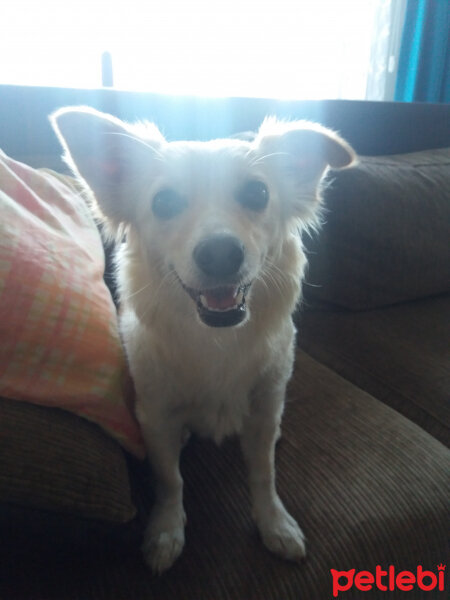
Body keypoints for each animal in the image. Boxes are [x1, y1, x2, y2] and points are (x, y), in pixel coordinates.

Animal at [51, 108, 356, 572]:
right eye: (163, 203)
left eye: (257, 193)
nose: (219, 252)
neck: (217, 340)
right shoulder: (156, 416)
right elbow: (169, 478)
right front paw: (166, 530)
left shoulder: (265, 406)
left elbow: (263, 472)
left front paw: (274, 523)